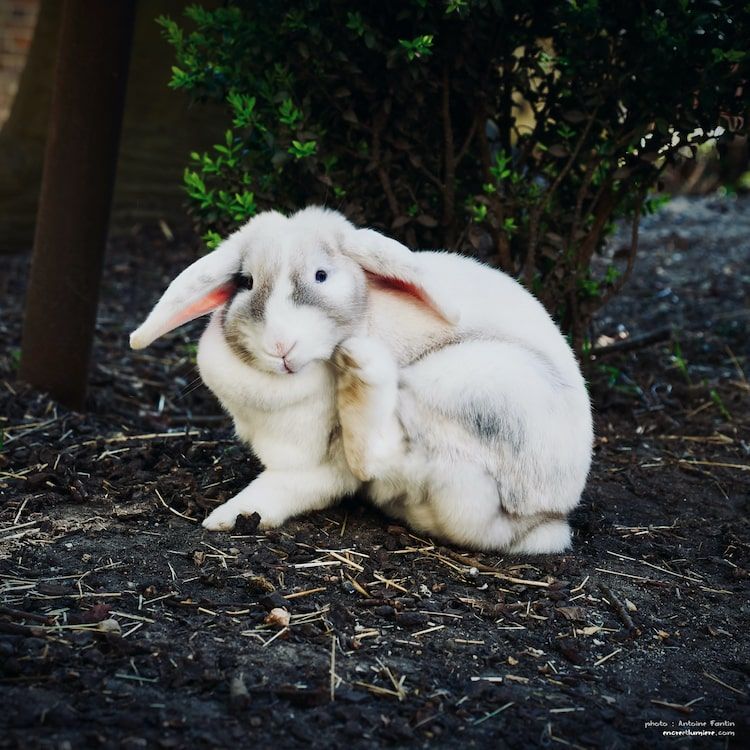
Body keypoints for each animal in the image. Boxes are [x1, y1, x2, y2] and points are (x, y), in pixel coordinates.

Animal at [130, 206, 593, 553]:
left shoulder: (324, 464)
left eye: (321, 275)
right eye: (245, 282)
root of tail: (545, 519)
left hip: (459, 383)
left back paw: (361, 366)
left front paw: (228, 516)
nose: (281, 345)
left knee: (380, 454)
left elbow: (291, 484)